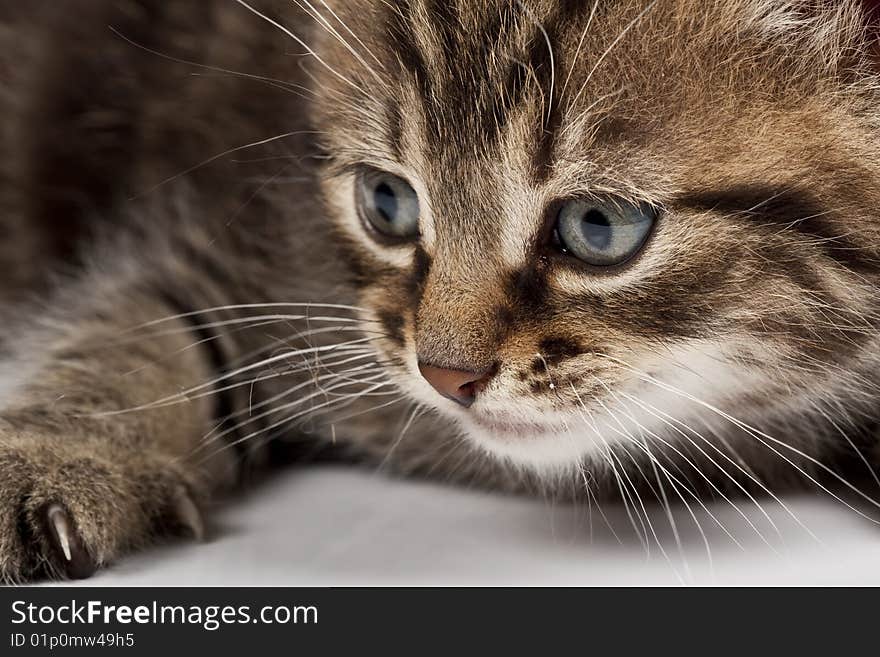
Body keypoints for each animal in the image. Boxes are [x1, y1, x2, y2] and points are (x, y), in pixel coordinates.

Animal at [1, 0, 880, 580]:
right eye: (386, 203)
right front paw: (54, 457)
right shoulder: (237, 242)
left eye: (600, 226)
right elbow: (141, 329)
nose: (446, 374)